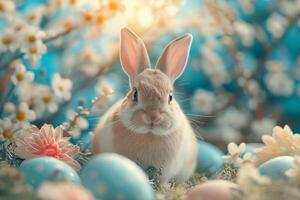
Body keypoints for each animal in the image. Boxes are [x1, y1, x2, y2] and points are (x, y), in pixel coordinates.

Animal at [92, 27, 198, 183]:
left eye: (170, 97)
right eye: (135, 94)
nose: (152, 117)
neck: (149, 134)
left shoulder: (166, 171)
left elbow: (163, 181)